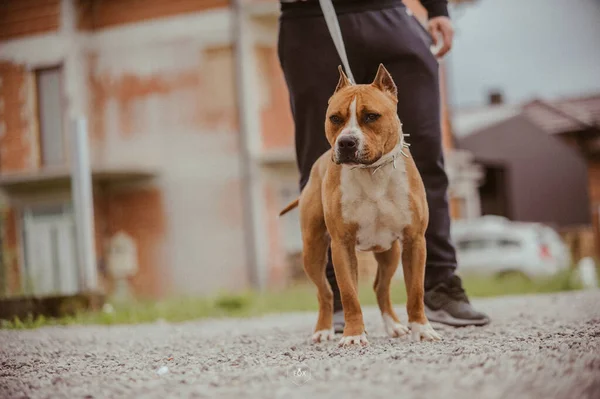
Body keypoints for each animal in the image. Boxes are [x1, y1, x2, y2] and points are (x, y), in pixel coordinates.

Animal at [280, 64, 440, 346]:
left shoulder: (414, 241)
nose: (346, 142)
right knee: (326, 292)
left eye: (371, 116)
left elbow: (416, 291)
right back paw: (324, 330)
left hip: (389, 252)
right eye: (335, 118)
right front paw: (354, 334)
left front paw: (422, 329)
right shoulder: (341, 245)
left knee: (381, 288)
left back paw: (394, 326)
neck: (372, 172)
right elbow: (349, 294)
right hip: (312, 250)